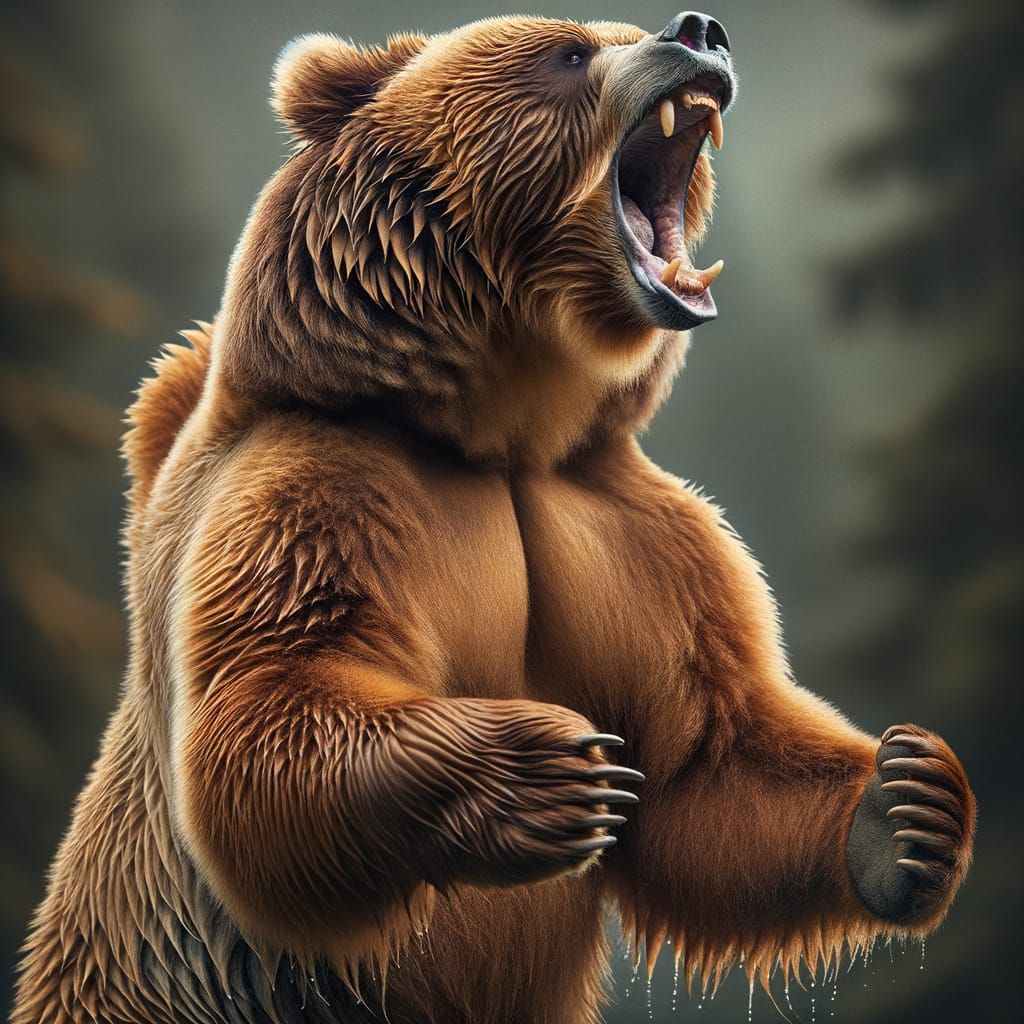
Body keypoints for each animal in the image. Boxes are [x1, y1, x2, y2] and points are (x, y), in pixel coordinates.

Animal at [13, 11, 974, 1023]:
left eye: (622, 29)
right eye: (571, 51)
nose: (700, 29)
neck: (501, 427)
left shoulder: (634, 537)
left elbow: (707, 767)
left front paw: (907, 801)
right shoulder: (322, 485)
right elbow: (275, 702)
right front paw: (550, 769)